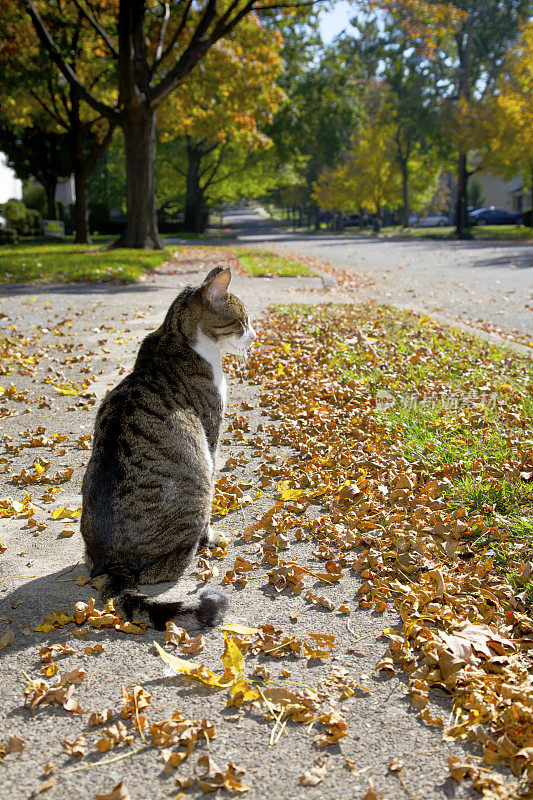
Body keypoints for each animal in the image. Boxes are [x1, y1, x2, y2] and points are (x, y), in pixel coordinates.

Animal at [80, 268, 256, 632]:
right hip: (196, 490)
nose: (255, 336)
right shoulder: (210, 433)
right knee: (164, 568)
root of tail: (115, 565)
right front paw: (212, 535)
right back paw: (198, 549)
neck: (173, 339)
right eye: (242, 321)